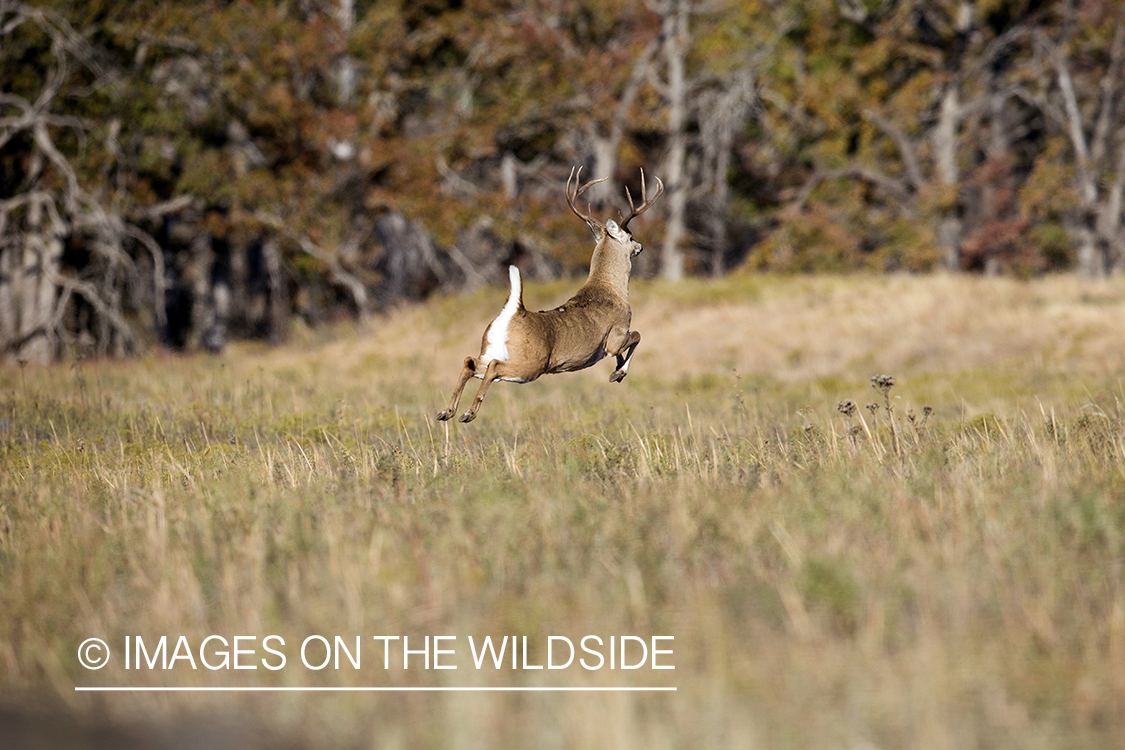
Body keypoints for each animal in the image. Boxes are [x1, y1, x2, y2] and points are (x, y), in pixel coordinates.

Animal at [434, 168, 661, 422]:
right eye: (630, 237)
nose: (640, 246)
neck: (610, 289)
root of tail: (516, 309)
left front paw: (616, 371)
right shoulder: (617, 333)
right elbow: (637, 336)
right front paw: (618, 373)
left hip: (492, 348)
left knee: (469, 362)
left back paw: (447, 411)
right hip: (530, 365)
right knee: (493, 367)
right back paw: (469, 412)